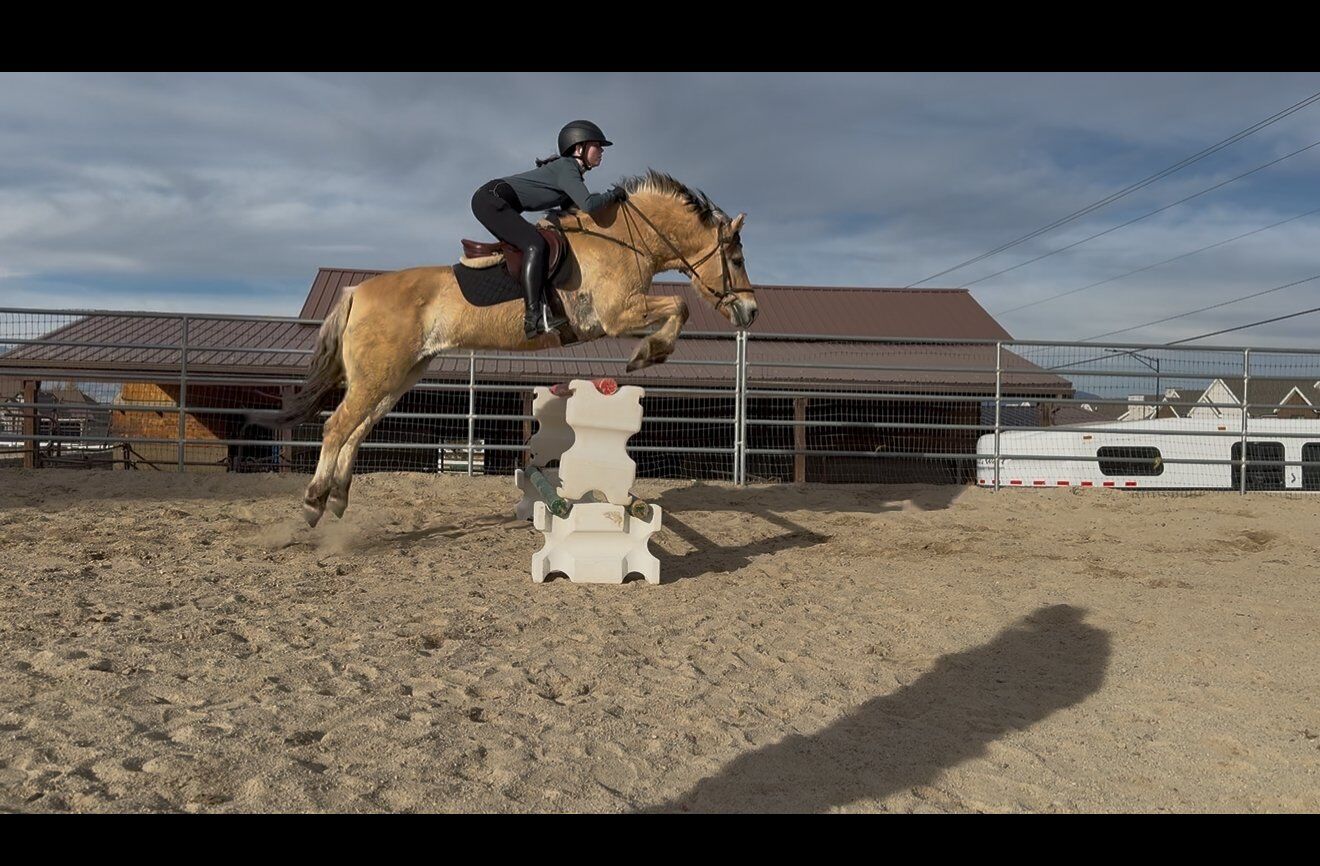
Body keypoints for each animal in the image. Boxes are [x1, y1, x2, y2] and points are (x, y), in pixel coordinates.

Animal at [267, 170, 758, 528]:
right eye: (736, 260)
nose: (750, 312)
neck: (623, 239)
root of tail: (358, 291)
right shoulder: (617, 315)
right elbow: (679, 306)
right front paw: (647, 354)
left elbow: (678, 308)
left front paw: (650, 352)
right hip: (379, 375)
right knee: (337, 427)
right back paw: (314, 502)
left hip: (398, 375)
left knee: (359, 428)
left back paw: (338, 499)